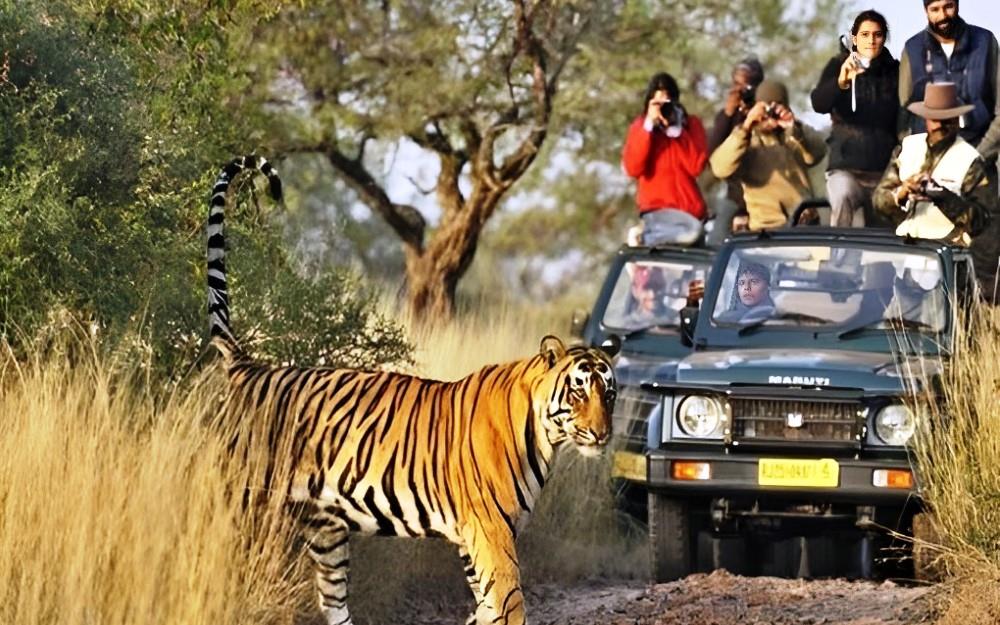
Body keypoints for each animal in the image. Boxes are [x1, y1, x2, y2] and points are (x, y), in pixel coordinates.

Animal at [208, 154, 620, 620]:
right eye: (578, 391)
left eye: (609, 394)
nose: (602, 434)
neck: (544, 436)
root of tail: (246, 366)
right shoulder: (491, 531)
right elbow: (510, 606)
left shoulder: (472, 539)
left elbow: (485, 610)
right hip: (244, 501)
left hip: (326, 529)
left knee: (333, 600)